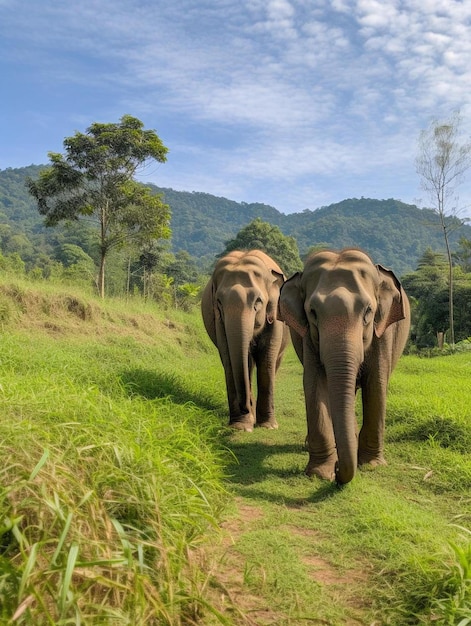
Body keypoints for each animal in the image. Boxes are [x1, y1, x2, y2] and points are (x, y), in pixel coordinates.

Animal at [201, 249, 290, 428]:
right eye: (219, 302)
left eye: (258, 302)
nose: (245, 408)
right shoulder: (219, 320)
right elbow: (230, 359)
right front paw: (241, 426)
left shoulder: (275, 316)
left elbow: (266, 360)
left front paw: (268, 426)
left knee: (273, 363)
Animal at [280, 247, 410, 482]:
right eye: (313, 312)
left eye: (368, 311)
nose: (338, 467)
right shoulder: (309, 337)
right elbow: (313, 384)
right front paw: (321, 473)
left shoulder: (382, 332)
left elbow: (376, 385)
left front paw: (371, 465)